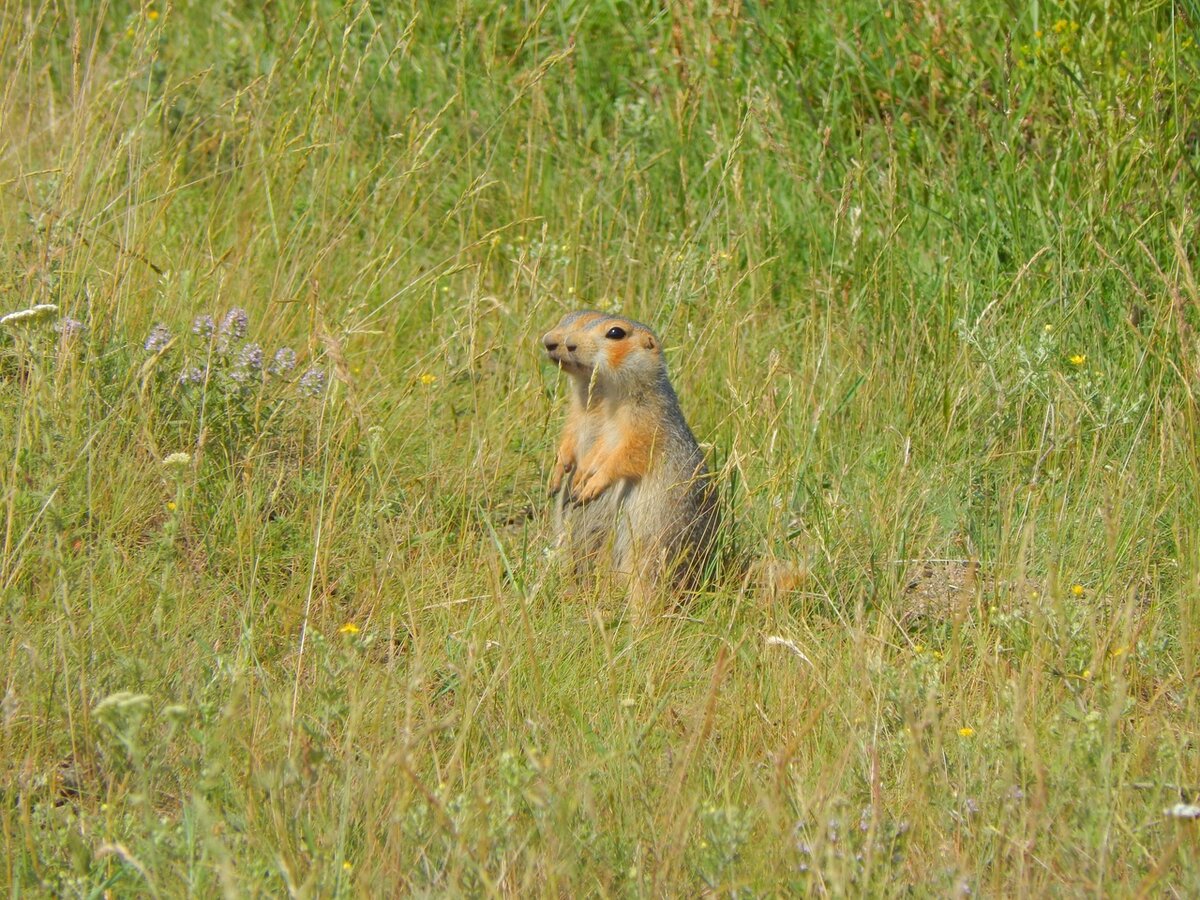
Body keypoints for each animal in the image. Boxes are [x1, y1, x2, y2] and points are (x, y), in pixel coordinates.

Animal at [542, 312, 715, 619]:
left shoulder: (645, 424)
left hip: (648, 553)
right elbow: (571, 442)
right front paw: (560, 475)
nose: (552, 341)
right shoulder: (582, 419)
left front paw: (589, 484)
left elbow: (625, 456)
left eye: (615, 333)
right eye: (567, 318)